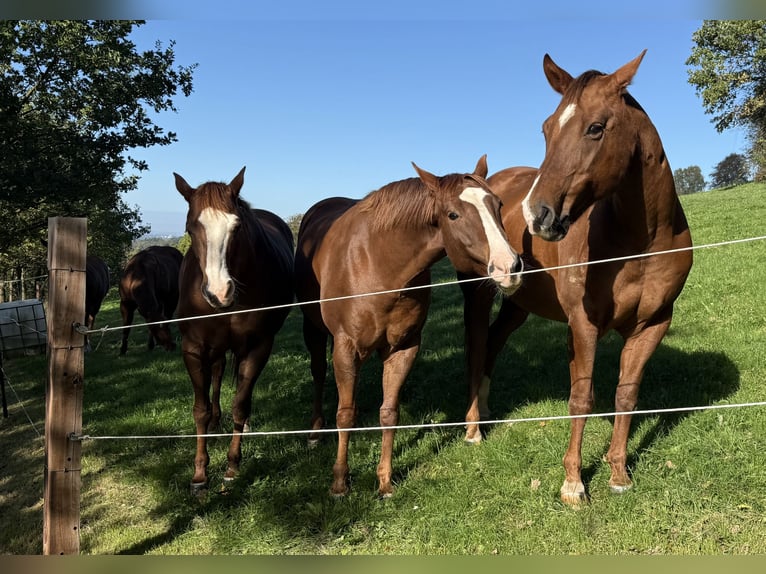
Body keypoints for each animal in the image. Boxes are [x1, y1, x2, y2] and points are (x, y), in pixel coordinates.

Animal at [174, 167, 295, 492]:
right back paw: (216, 421)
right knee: (216, 375)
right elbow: (200, 409)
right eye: (190, 229)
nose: (219, 293)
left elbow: (240, 403)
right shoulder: (193, 349)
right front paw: (200, 474)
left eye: (237, 227)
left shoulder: (258, 346)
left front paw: (231, 466)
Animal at [295, 155, 523, 498]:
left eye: (498, 204)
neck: (377, 263)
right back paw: (314, 431)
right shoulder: (347, 347)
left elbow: (389, 412)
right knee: (319, 373)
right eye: (453, 214)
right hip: (314, 329)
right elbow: (345, 414)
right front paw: (339, 482)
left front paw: (385, 481)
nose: (511, 267)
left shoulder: (404, 348)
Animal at [459, 51, 693, 505]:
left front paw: (618, 473)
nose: (537, 216)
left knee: (494, 341)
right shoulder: (583, 325)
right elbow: (580, 398)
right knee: (478, 347)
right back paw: (473, 427)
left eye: (596, 128)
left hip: (517, 303)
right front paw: (573, 483)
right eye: (547, 128)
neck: (639, 243)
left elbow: (626, 394)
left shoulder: (653, 324)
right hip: (478, 295)